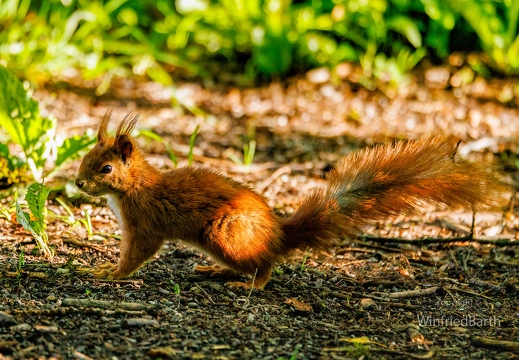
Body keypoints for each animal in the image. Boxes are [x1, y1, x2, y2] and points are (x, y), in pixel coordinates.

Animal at [75, 111, 510, 288]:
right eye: (85, 158)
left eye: (106, 169)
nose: (78, 183)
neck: (133, 189)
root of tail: (279, 236)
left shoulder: (145, 223)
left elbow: (136, 255)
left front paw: (108, 274)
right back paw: (217, 272)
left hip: (225, 235)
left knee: (265, 266)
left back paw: (250, 286)